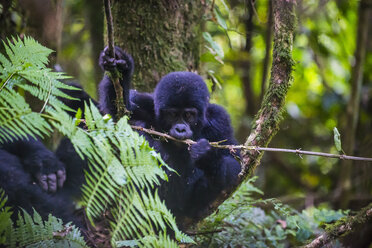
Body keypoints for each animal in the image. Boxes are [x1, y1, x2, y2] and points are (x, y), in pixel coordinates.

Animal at [98, 46, 241, 225]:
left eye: (188, 115)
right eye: (172, 115)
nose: (180, 129)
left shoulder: (220, 120)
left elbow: (234, 162)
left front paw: (207, 157)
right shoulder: (146, 104)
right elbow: (118, 113)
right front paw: (122, 65)